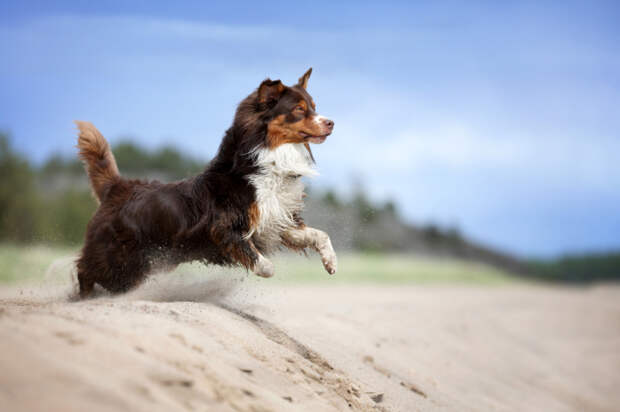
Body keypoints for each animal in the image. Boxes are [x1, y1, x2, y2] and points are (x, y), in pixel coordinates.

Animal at [74, 69, 336, 298]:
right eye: (299, 109)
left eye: (314, 106)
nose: (331, 122)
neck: (266, 161)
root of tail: (117, 187)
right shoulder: (223, 227)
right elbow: (262, 263)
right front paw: (262, 266)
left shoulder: (277, 219)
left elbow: (320, 235)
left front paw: (330, 261)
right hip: (119, 258)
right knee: (86, 270)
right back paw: (83, 297)